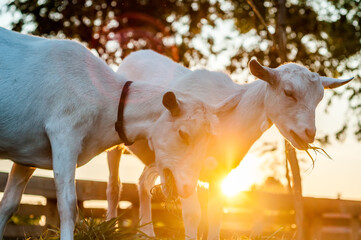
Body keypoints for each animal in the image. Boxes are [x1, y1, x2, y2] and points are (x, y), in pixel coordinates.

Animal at [0, 28, 236, 240]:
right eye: (183, 134)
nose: (187, 188)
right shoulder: (64, 135)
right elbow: (68, 205)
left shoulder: (27, 154)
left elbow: (8, 205)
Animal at [106, 49, 352, 239]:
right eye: (288, 92)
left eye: (319, 99)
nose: (309, 133)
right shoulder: (185, 169)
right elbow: (193, 214)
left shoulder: (219, 173)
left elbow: (216, 215)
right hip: (117, 141)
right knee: (115, 186)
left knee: (143, 183)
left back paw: (146, 233)